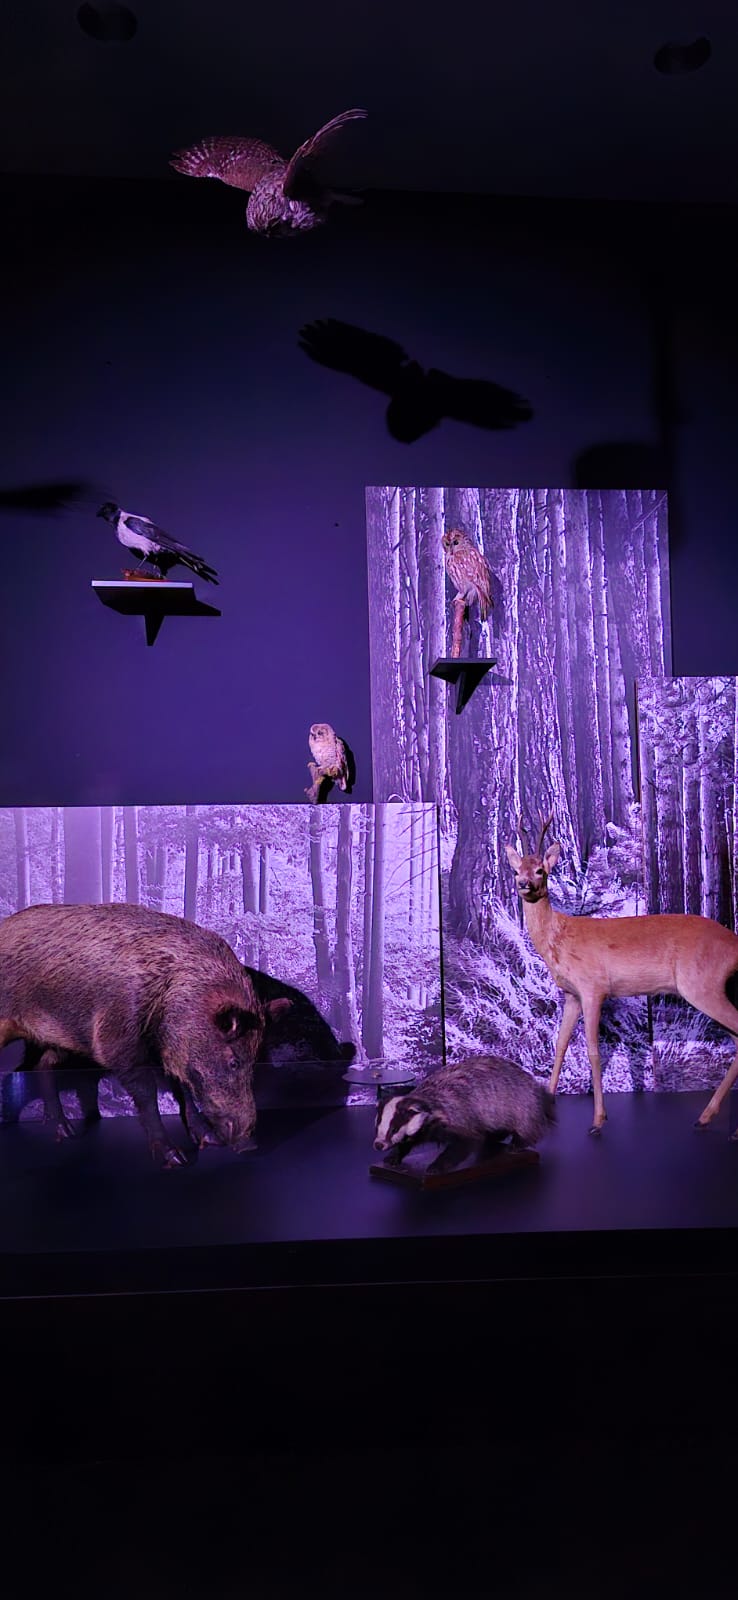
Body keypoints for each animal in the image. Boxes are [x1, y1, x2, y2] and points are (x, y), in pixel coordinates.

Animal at [0, 902, 289, 1167]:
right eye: (234, 1062)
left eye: (254, 1062)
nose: (250, 1145)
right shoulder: (117, 1040)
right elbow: (148, 1094)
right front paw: (176, 1158)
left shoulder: (169, 1053)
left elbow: (184, 1090)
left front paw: (209, 1141)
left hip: (59, 1039)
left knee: (43, 1065)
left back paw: (66, 1133)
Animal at [505, 811, 738, 1138]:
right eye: (516, 870)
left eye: (540, 870)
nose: (524, 884)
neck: (559, 938)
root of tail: (735, 944)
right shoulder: (571, 994)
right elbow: (560, 1045)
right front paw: (544, 1107)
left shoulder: (594, 987)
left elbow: (593, 1051)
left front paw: (597, 1120)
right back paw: (706, 1118)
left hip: (703, 985)